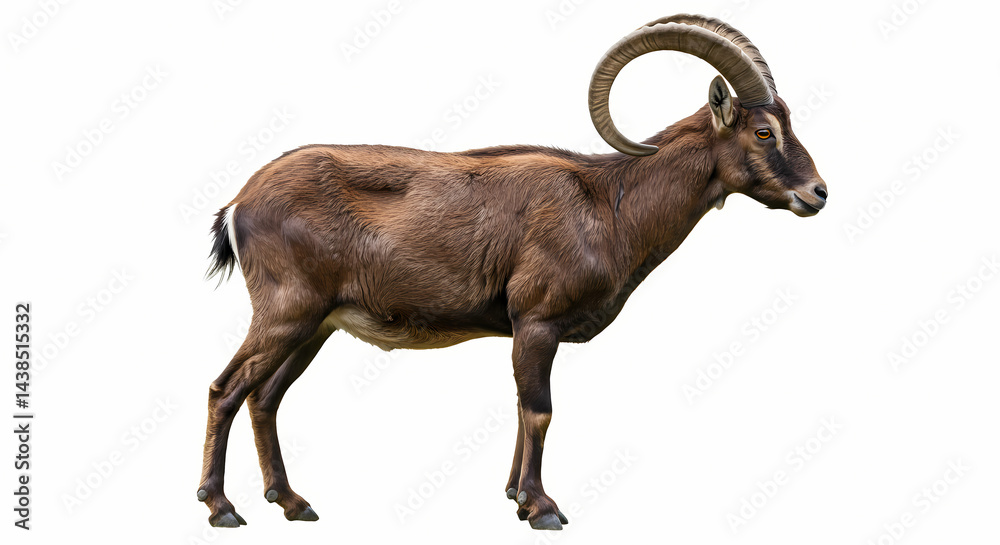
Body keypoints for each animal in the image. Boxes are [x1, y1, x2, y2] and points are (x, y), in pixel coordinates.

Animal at [197, 14, 828, 531]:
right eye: (764, 131)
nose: (817, 193)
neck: (610, 204)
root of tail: (240, 203)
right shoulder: (539, 321)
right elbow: (540, 410)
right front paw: (542, 508)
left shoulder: (525, 332)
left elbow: (524, 410)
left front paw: (513, 497)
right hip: (287, 311)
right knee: (226, 389)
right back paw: (221, 508)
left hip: (317, 326)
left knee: (265, 397)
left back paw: (292, 503)